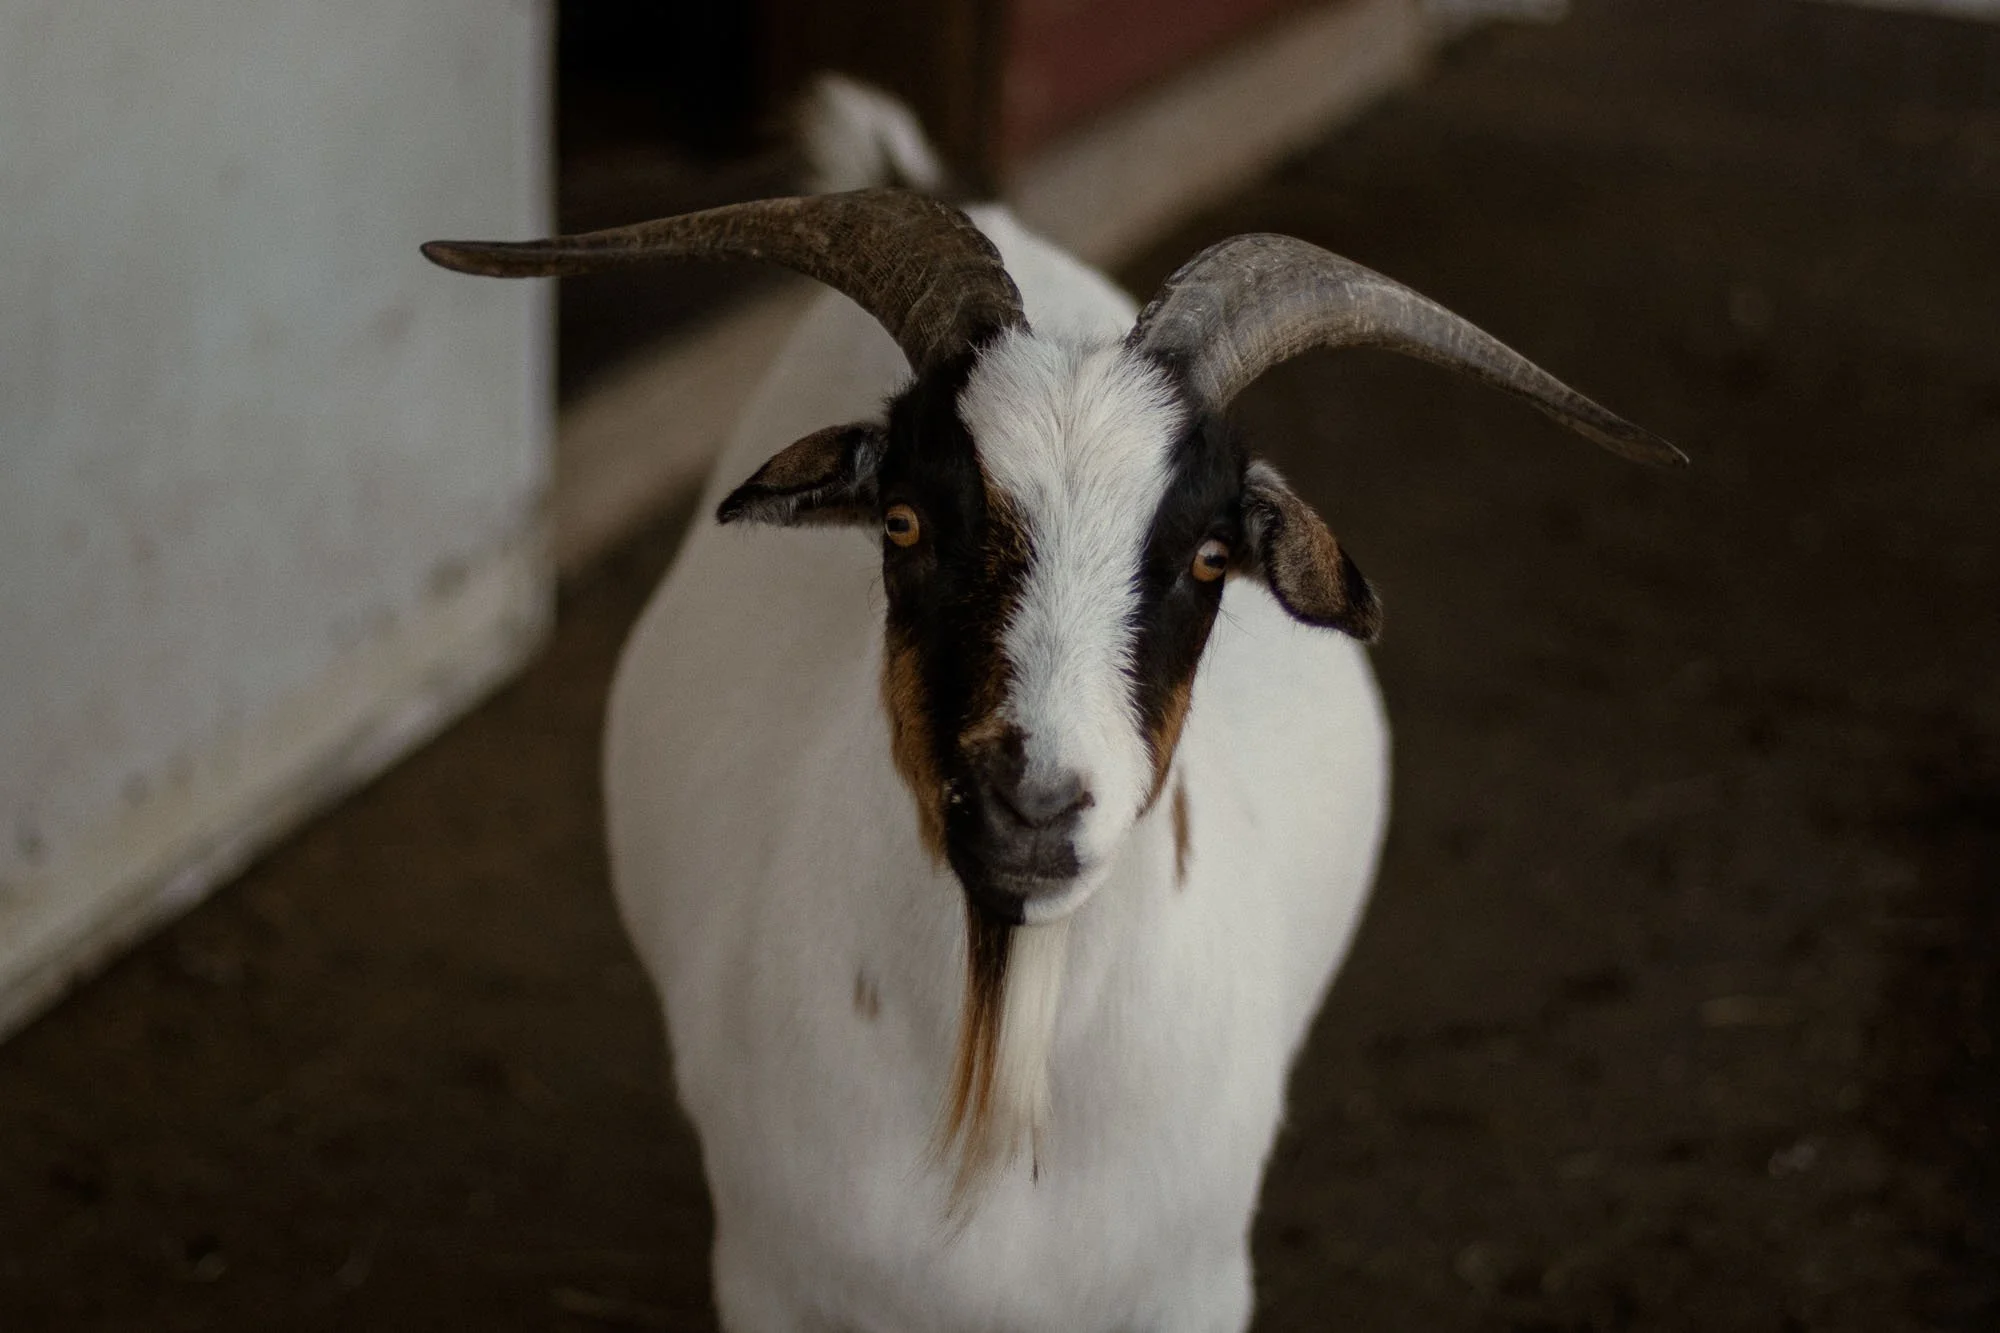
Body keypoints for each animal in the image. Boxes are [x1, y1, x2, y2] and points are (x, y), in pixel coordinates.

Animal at [423, 85, 1679, 1333]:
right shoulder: (774, 1279)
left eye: (1209, 556)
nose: (1030, 802)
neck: (999, 1080)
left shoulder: (1189, 1289)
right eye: (903, 521)